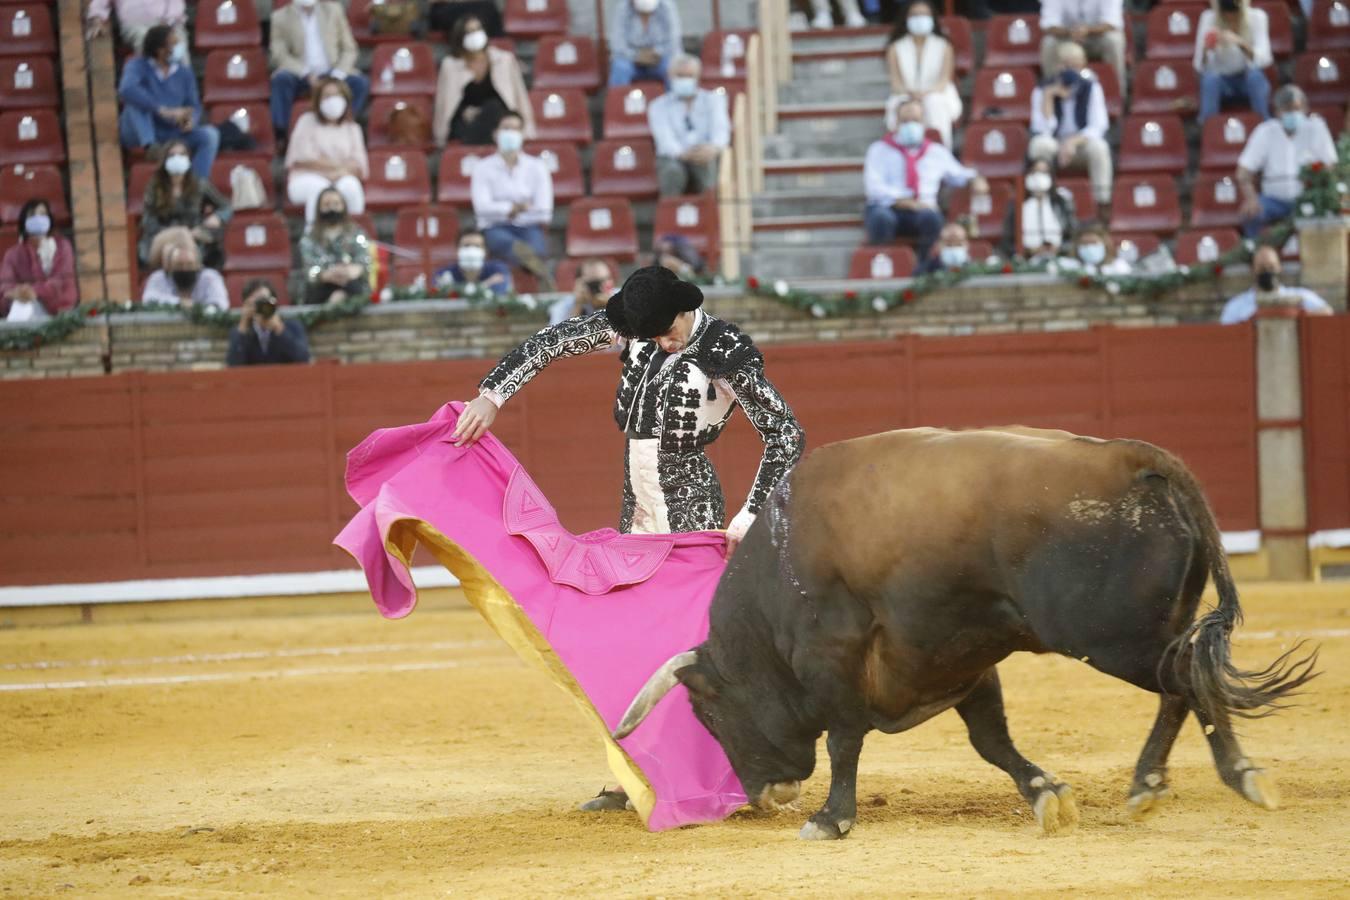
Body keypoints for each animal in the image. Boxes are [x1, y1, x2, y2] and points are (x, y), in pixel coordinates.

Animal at [618, 426, 1312, 841]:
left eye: (708, 713)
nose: (766, 795)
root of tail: (1139, 458)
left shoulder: (832, 659)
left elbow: (845, 741)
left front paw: (830, 819)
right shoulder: (962, 661)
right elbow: (990, 740)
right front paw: (1046, 793)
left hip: (1115, 637)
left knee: (1187, 681)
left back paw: (1238, 775)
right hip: (1147, 631)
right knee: (1182, 684)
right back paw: (1146, 786)